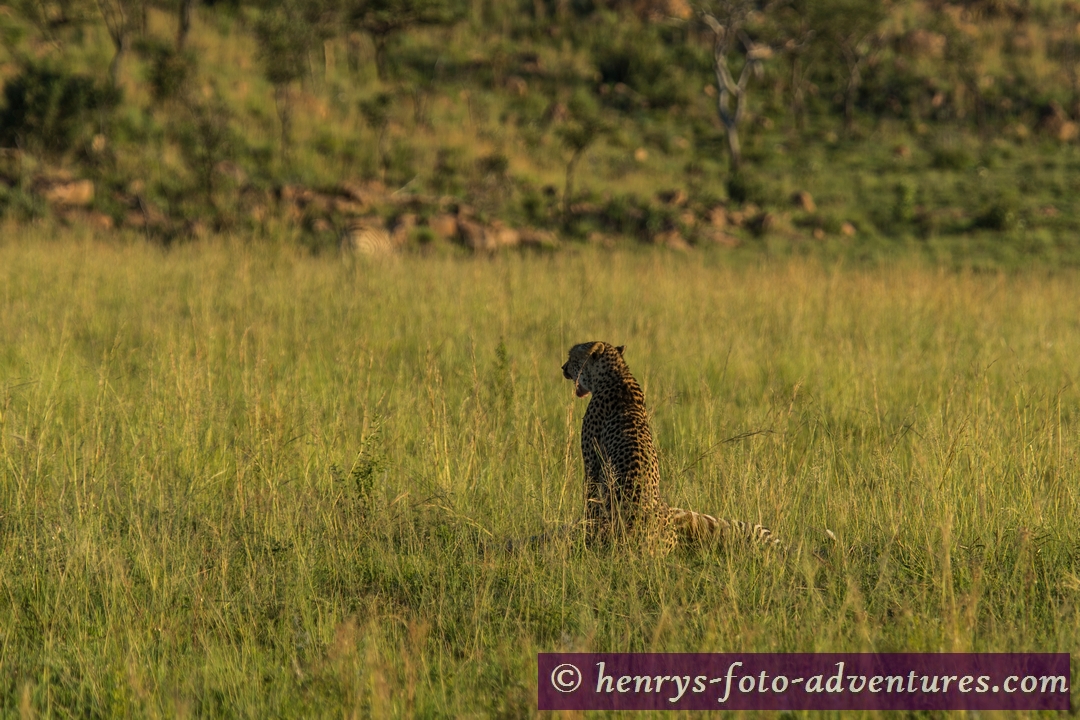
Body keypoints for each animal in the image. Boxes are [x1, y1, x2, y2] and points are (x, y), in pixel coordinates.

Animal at [561, 338, 781, 557]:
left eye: (572, 357)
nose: (563, 367)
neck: (615, 372)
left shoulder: (592, 462)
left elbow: (589, 498)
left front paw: (584, 527)